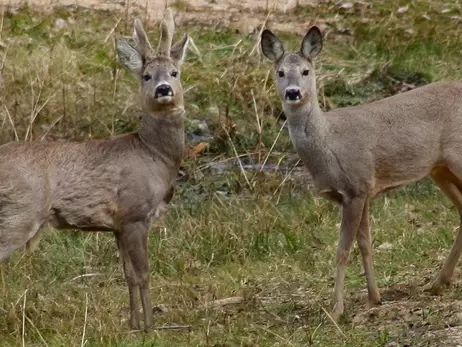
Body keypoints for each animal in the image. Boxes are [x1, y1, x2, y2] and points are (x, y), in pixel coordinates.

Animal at [0, 9, 189, 334]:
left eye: (174, 72)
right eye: (146, 76)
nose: (163, 89)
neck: (153, 155)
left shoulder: (118, 224)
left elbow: (127, 275)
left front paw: (132, 324)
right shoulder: (135, 213)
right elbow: (144, 273)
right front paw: (150, 327)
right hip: (19, 213)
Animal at [262, 26, 462, 320]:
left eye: (306, 71)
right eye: (280, 72)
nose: (293, 92)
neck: (329, 144)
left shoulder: (356, 187)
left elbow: (343, 250)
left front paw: (336, 309)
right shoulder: (363, 190)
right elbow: (365, 243)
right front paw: (373, 298)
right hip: (440, 170)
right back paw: (438, 282)